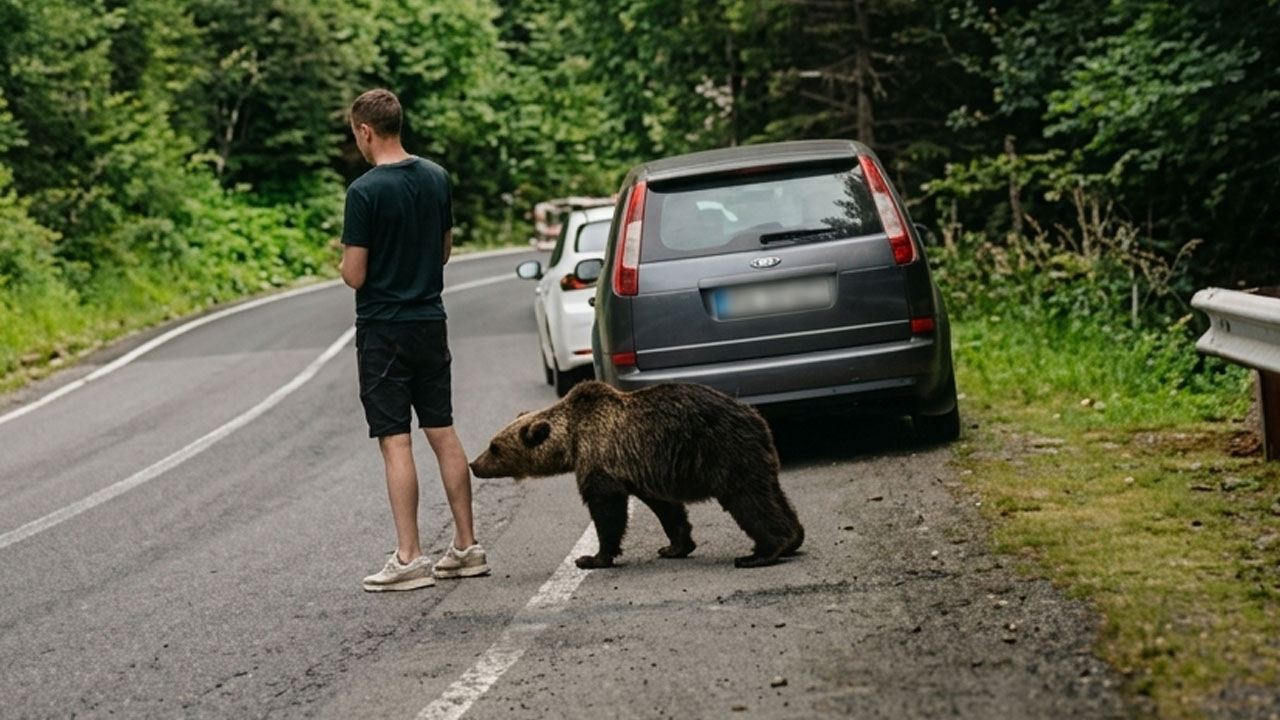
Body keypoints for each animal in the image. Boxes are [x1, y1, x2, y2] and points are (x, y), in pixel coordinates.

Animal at [469, 380, 804, 569]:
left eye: (494, 447)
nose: (473, 464)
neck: (573, 440)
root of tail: (755, 416)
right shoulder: (641, 470)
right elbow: (667, 509)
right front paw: (674, 547)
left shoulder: (602, 459)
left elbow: (607, 511)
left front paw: (593, 558)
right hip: (753, 456)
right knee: (772, 494)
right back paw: (793, 538)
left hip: (723, 452)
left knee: (748, 500)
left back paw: (762, 552)